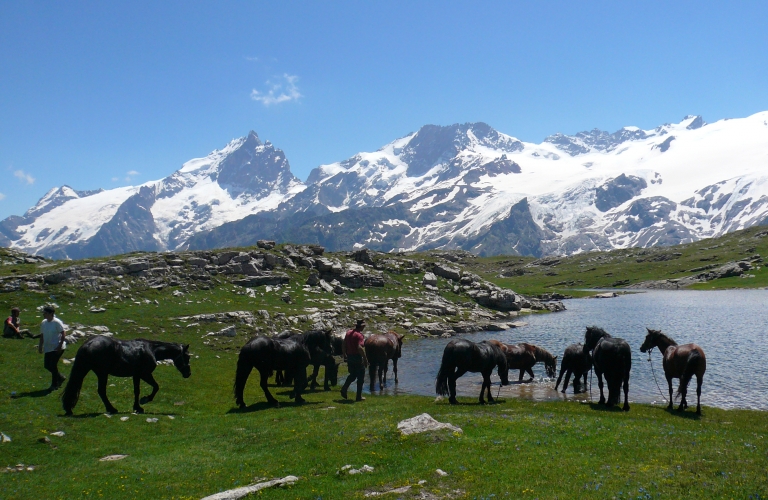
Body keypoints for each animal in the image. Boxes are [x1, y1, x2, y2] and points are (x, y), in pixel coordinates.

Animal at [61, 338, 190, 416]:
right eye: (187, 357)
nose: (188, 373)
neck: (151, 350)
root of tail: (88, 344)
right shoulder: (145, 374)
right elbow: (156, 387)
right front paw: (144, 400)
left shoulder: (136, 375)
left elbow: (137, 391)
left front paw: (137, 407)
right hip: (102, 373)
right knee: (101, 391)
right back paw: (111, 409)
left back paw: (68, 408)